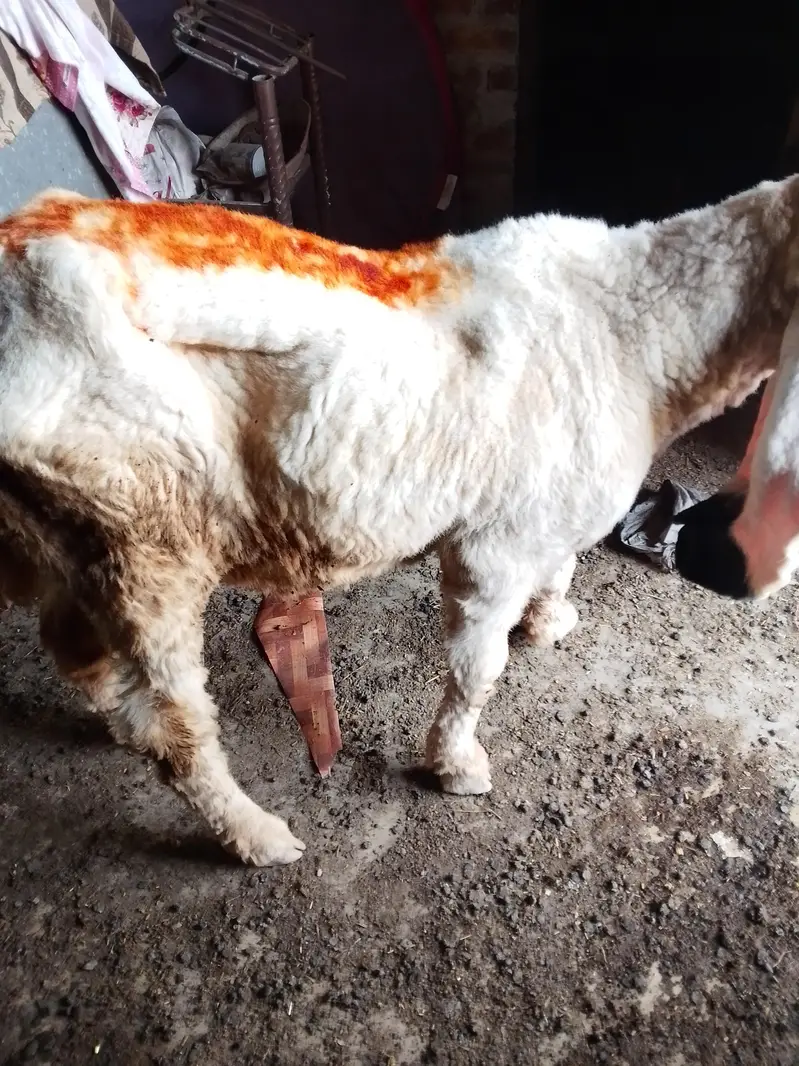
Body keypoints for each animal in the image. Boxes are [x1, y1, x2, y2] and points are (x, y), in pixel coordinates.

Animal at [0, 179, 797, 866]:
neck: (630, 331)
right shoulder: (494, 545)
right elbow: (478, 667)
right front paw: (456, 765)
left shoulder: (545, 507)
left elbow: (563, 564)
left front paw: (548, 620)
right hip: (146, 538)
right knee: (174, 729)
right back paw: (255, 836)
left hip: (81, 541)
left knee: (71, 643)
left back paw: (111, 713)